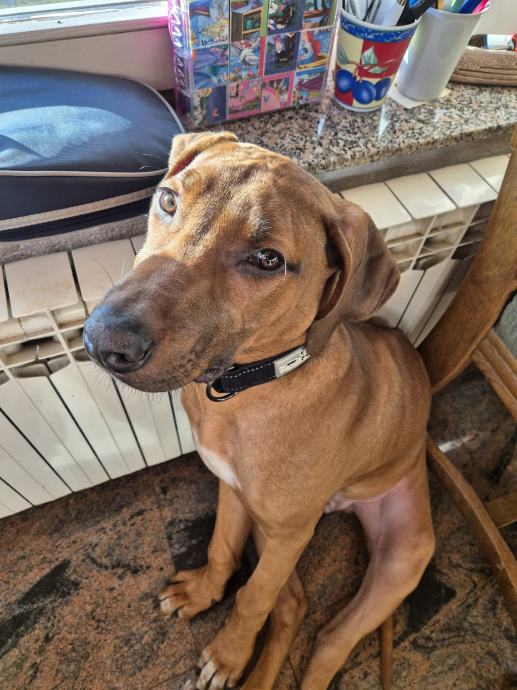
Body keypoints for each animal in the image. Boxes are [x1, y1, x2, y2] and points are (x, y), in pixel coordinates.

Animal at [83, 131, 435, 690]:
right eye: (168, 201)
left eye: (268, 260)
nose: (103, 342)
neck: (248, 389)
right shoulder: (233, 490)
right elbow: (221, 549)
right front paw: (203, 594)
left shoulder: (291, 535)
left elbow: (252, 598)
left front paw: (228, 655)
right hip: (269, 525)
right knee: (294, 605)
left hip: (399, 556)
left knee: (328, 637)